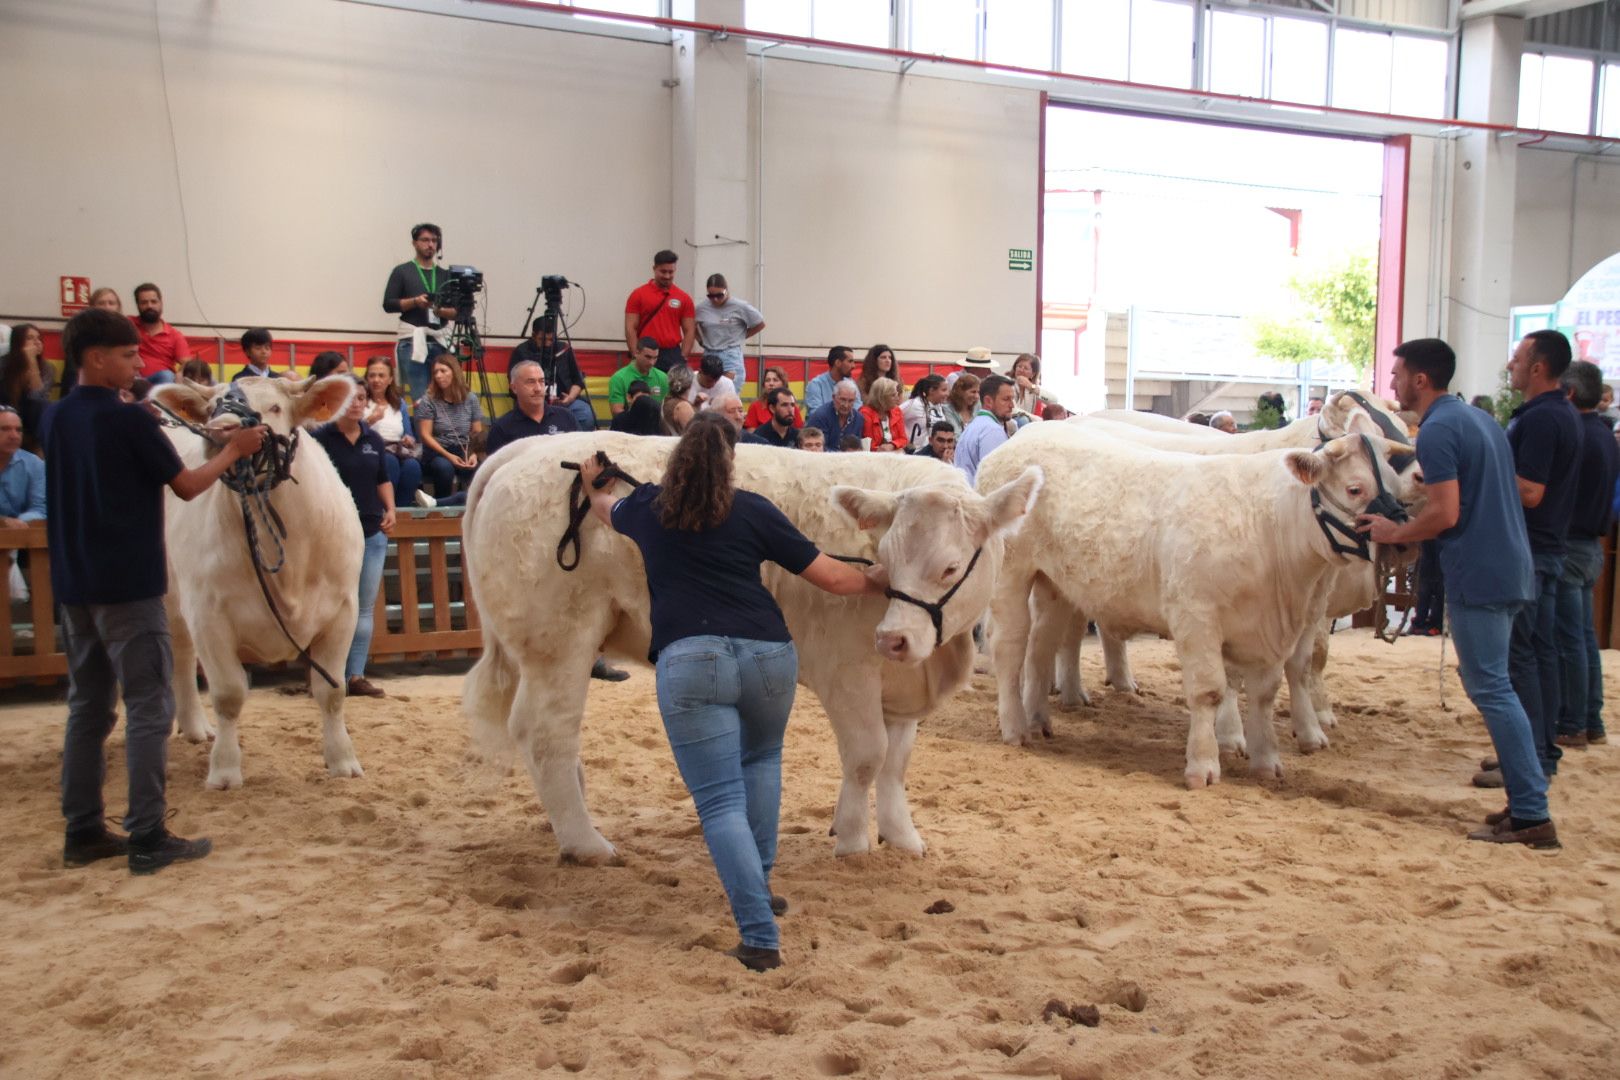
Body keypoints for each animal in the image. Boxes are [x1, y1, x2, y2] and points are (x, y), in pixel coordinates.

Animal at [152, 375, 364, 790]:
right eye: (212, 408)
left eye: (276, 407)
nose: (219, 431)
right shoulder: (208, 613)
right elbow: (228, 694)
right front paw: (224, 770)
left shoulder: (343, 610)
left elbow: (332, 692)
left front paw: (342, 761)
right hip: (169, 598)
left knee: (182, 657)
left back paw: (195, 728)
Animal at [460, 430, 1036, 861]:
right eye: (888, 561)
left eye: (949, 568)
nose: (892, 639)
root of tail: (524, 449)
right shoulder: (845, 670)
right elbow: (867, 755)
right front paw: (852, 840)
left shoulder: (900, 684)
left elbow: (896, 762)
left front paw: (901, 836)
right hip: (558, 643)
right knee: (545, 733)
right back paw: (586, 842)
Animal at [978, 424, 1412, 793]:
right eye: (1355, 489)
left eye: (1395, 485)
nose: (1403, 540)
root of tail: (1021, 437)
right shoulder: (1196, 616)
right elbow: (1209, 691)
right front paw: (1203, 765)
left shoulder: (1269, 629)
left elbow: (1265, 694)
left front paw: (1266, 760)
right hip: (1011, 574)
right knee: (1010, 648)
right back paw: (1014, 728)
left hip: (1054, 585)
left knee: (1041, 647)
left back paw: (1038, 720)